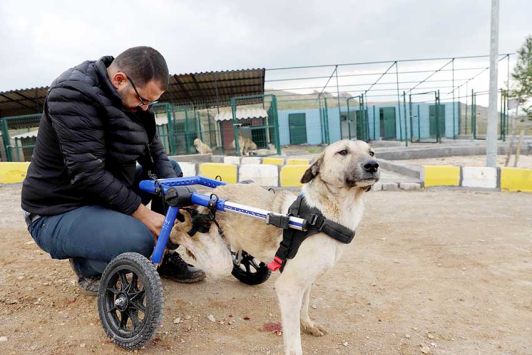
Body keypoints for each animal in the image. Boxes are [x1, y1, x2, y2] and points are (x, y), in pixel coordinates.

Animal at [170, 140, 378, 355]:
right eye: (343, 152)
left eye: (371, 152)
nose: (373, 165)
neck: (322, 217)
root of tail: (210, 196)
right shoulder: (289, 288)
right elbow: (294, 343)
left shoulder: (307, 280)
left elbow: (305, 305)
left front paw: (307, 324)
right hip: (220, 262)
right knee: (179, 228)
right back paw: (174, 235)